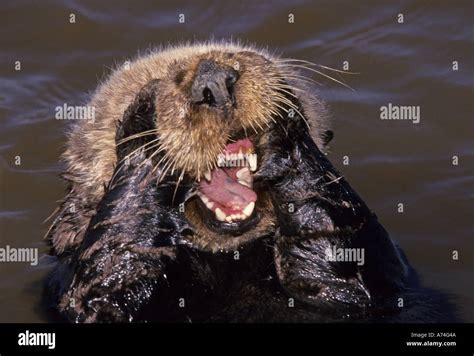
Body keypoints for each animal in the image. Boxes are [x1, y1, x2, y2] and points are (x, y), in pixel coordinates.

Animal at [45, 41, 456, 322]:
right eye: (167, 77)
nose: (213, 79)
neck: (230, 259)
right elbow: (105, 292)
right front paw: (144, 115)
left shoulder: (382, 274)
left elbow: (340, 271)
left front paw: (286, 128)